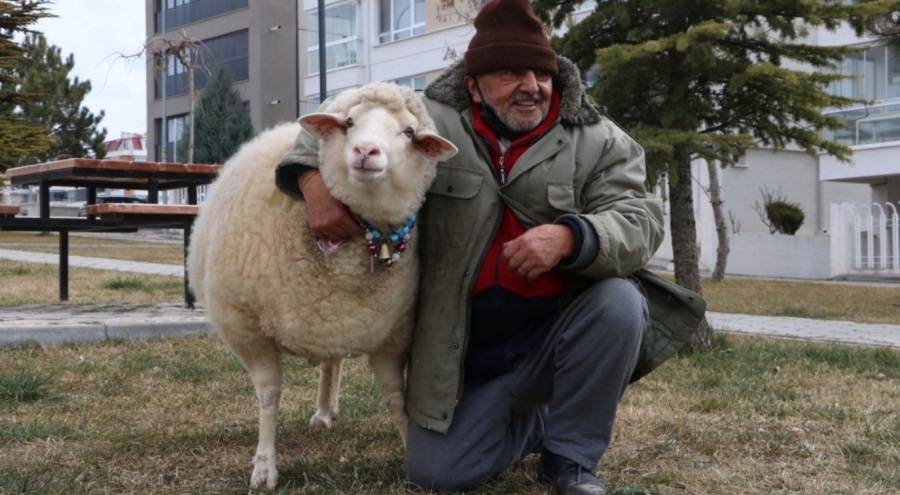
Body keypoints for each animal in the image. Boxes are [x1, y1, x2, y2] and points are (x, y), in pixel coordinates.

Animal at [188, 81, 458, 488]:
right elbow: (269, 395)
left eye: (409, 132)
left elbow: (396, 398)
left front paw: (412, 448)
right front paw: (264, 465)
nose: (365, 151)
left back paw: (327, 408)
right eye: (349, 122)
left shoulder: (393, 333)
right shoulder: (246, 328)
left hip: (336, 318)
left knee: (333, 362)